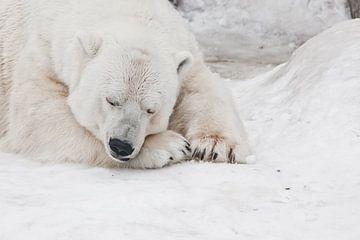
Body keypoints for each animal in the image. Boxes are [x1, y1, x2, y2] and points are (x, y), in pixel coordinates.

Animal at [0, 0, 253, 169]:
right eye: (110, 100)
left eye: (151, 109)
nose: (121, 146)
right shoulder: (42, 52)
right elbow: (38, 115)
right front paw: (170, 145)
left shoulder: (184, 52)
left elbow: (200, 86)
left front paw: (215, 146)